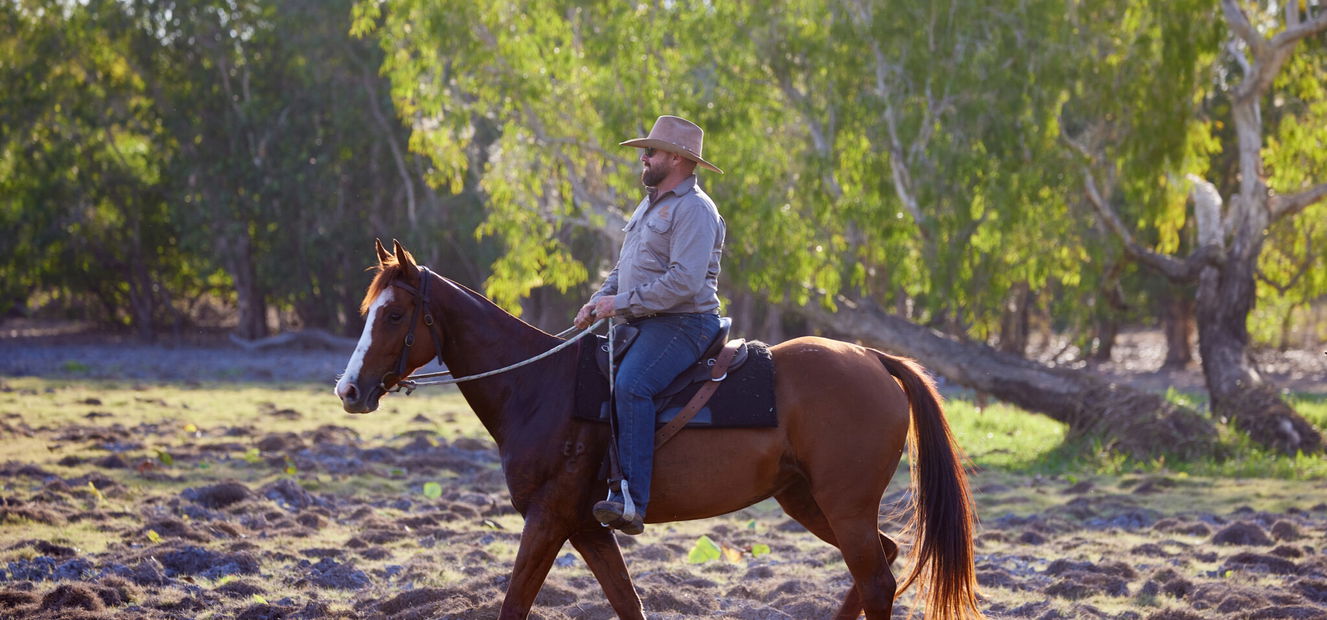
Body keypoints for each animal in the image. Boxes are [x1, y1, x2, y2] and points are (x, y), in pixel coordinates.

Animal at [334, 240, 980, 620]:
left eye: (396, 314)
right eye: (369, 312)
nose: (349, 391)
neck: (539, 387)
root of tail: (874, 358)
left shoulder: (547, 518)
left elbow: (515, 602)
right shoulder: (585, 527)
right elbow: (627, 603)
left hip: (843, 505)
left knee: (876, 581)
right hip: (808, 500)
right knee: (879, 565)